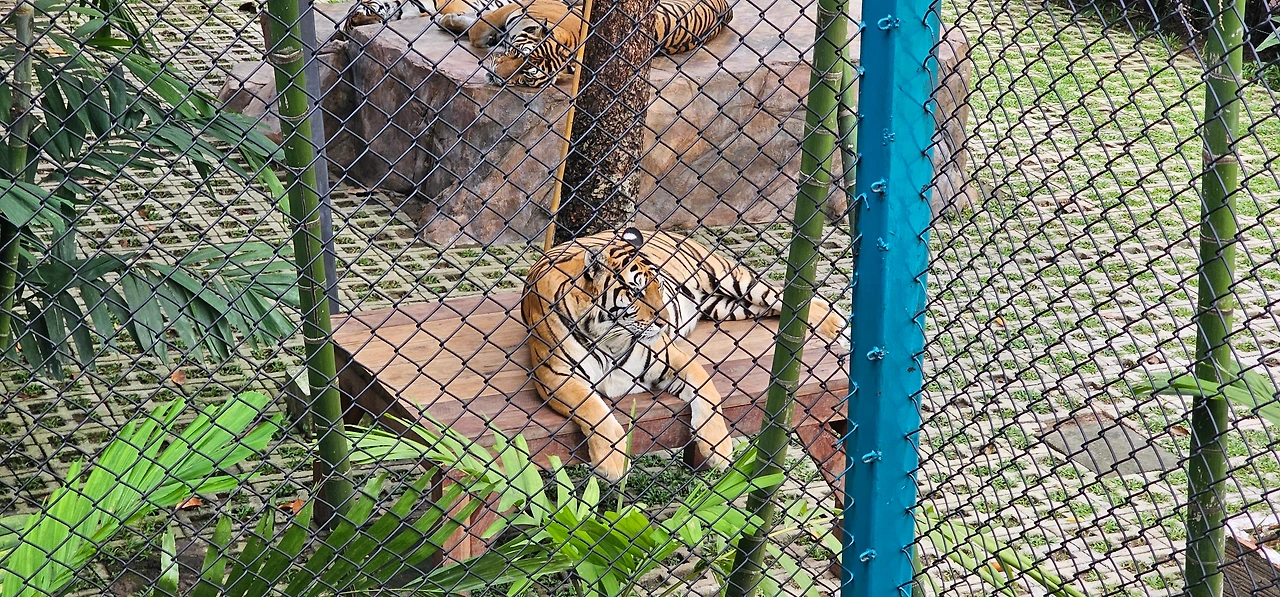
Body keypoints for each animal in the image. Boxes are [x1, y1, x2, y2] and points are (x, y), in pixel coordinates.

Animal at [520, 227, 849, 481]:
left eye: (660, 287)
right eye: (637, 293)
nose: (665, 322)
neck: (609, 337)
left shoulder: (673, 357)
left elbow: (708, 394)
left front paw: (718, 449)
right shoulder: (555, 376)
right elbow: (594, 410)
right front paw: (613, 464)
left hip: (735, 280)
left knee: (787, 298)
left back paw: (837, 326)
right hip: (728, 307)